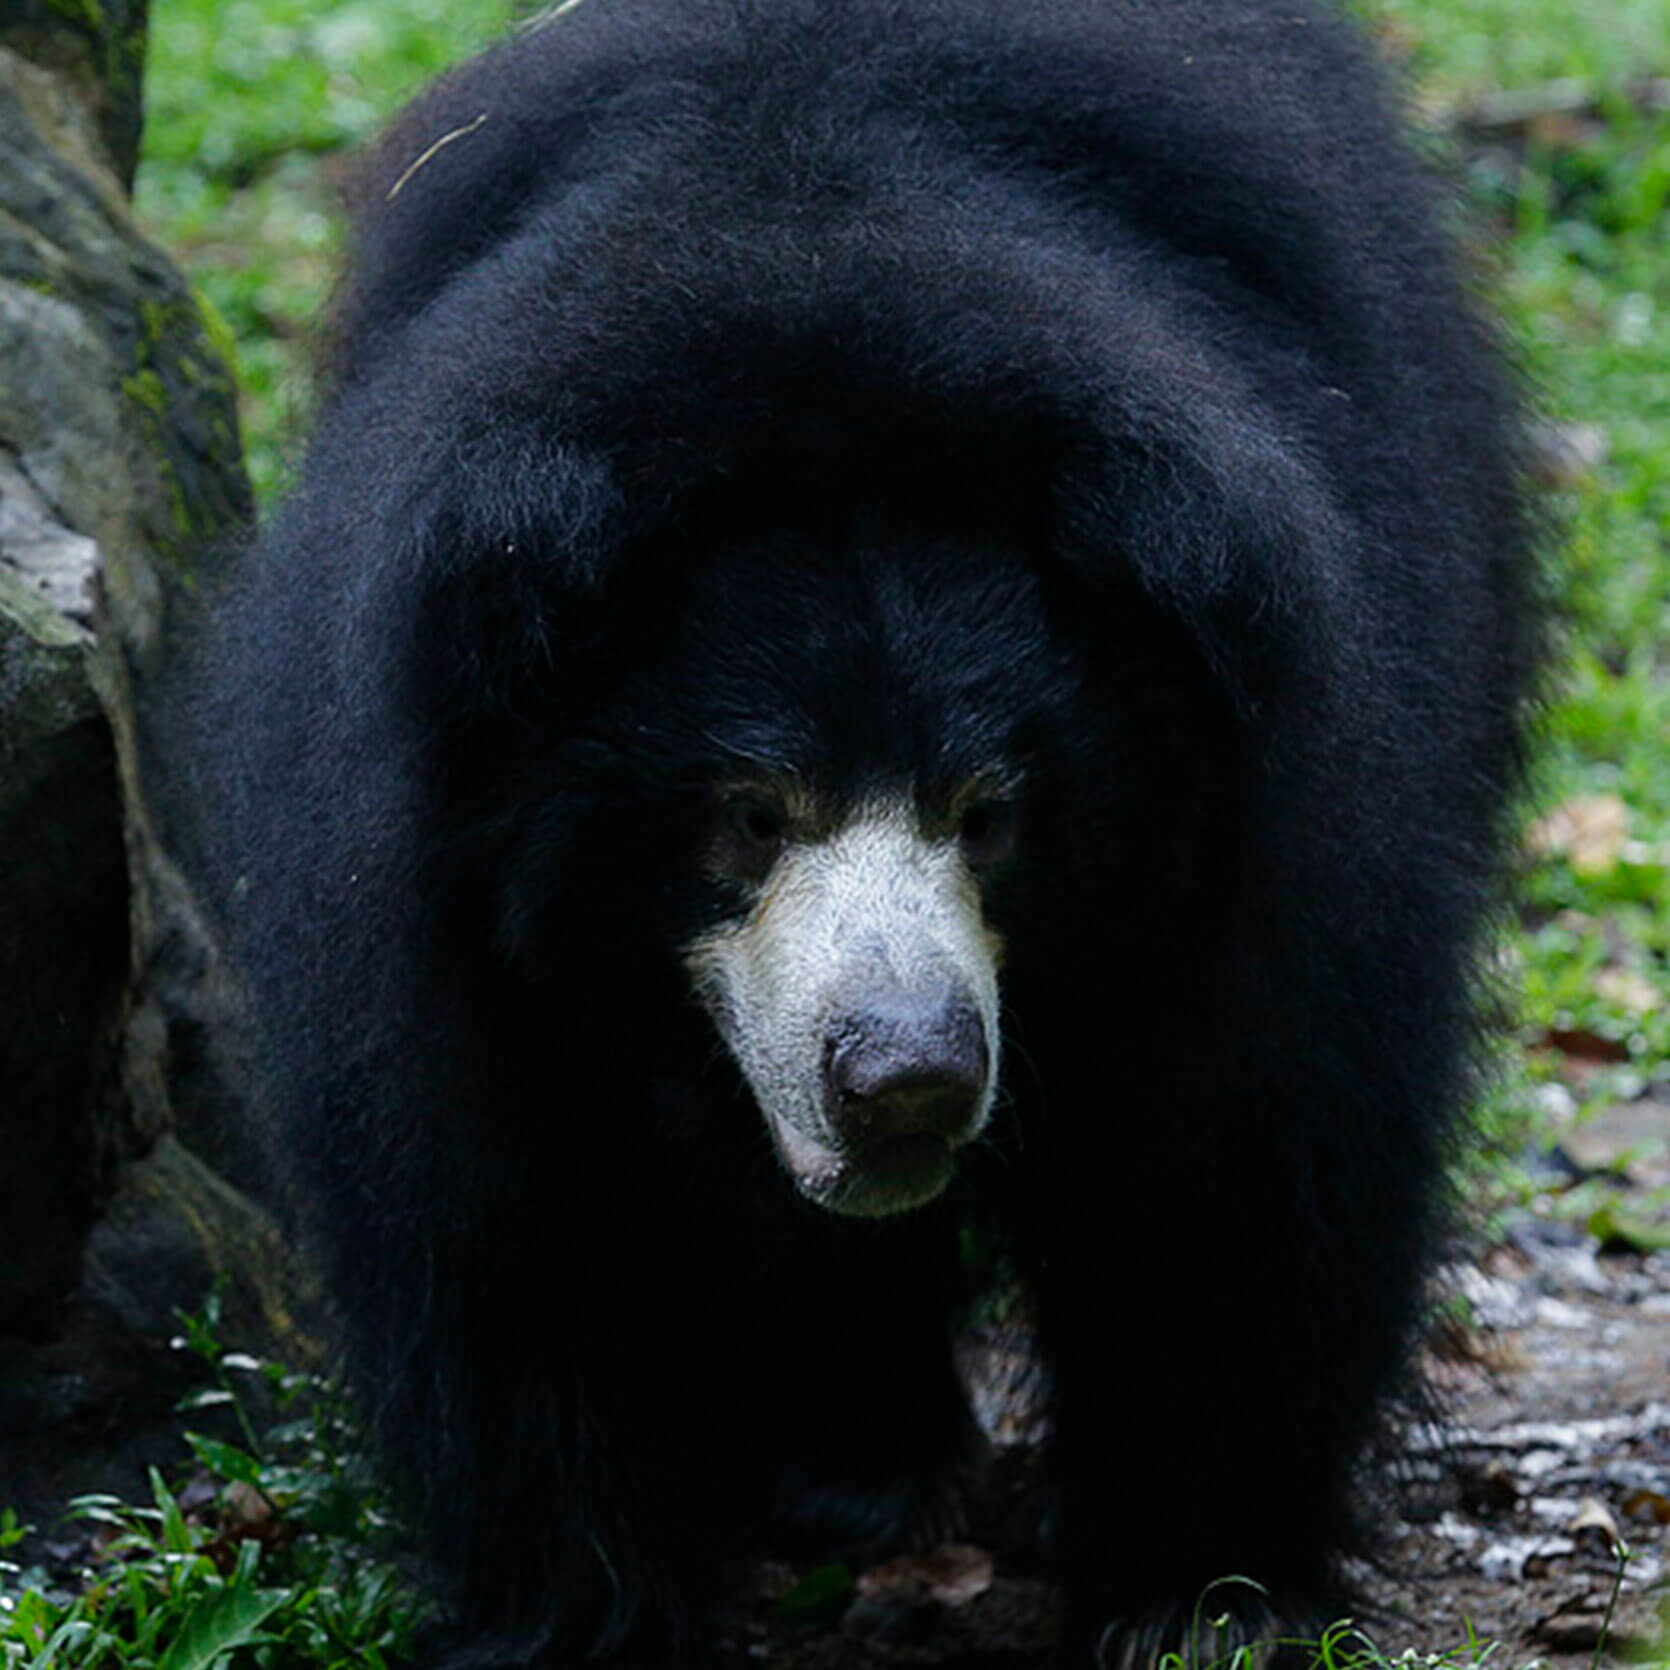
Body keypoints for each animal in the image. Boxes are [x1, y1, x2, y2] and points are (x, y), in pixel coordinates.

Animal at [177, 0, 1537, 1664]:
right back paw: (862, 1474)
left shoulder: (1280, 822)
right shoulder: (435, 904)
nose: (906, 1076)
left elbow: (1239, 1159)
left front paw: (1201, 1592)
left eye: (992, 812)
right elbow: (517, 1227)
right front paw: (585, 1610)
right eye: (749, 814)